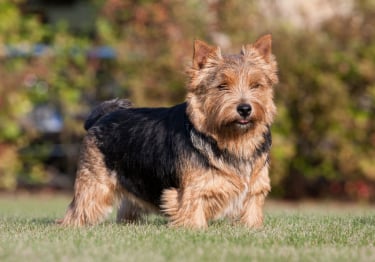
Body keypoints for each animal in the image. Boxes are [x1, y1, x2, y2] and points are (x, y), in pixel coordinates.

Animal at [60, 34, 280, 229]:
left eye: (256, 85)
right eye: (222, 86)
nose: (245, 108)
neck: (234, 140)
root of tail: (103, 114)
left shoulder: (254, 190)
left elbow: (251, 214)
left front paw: (252, 228)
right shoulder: (191, 192)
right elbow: (194, 216)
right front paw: (196, 230)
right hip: (95, 184)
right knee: (80, 208)